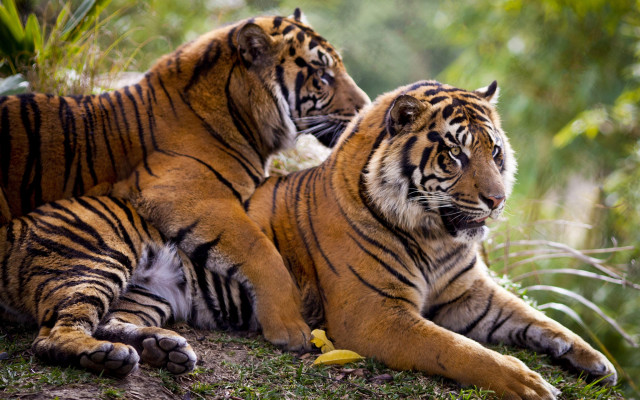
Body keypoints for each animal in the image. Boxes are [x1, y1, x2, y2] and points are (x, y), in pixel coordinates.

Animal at [0, 8, 369, 359]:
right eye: (323, 76)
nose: (365, 107)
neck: (241, 113)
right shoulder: (186, 193)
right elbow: (263, 252)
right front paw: (290, 328)